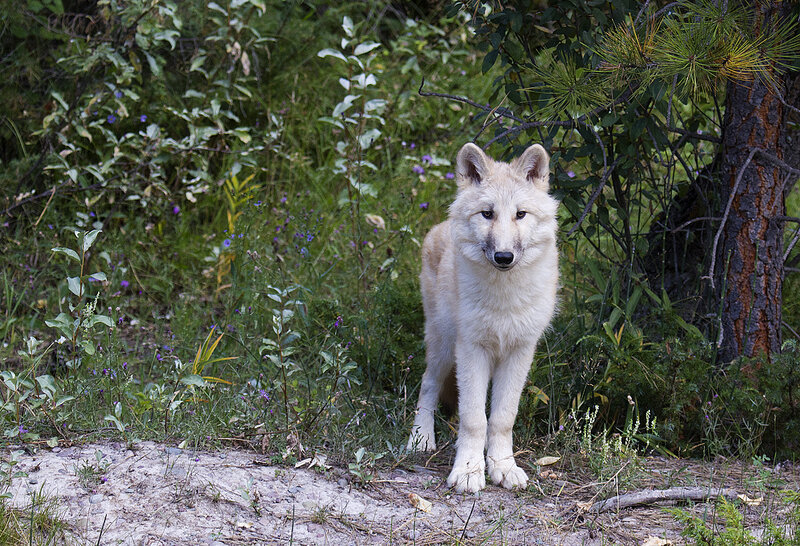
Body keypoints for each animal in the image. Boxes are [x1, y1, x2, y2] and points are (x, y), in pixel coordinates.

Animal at [407, 142, 559, 493]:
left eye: (520, 214)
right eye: (487, 213)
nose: (504, 256)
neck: (504, 296)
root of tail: (437, 228)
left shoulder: (520, 352)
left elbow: (502, 417)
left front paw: (503, 466)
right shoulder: (471, 350)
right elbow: (474, 418)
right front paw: (468, 471)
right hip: (444, 346)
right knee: (428, 384)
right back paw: (421, 439)